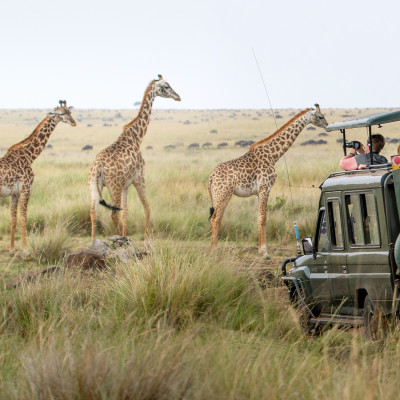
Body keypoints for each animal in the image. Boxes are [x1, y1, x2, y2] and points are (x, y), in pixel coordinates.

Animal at [0, 100, 76, 250]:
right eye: (60, 114)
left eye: (70, 112)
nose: (73, 122)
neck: (29, 155)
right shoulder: (26, 188)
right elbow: (24, 218)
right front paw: (25, 248)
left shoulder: (14, 193)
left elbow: (13, 219)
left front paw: (12, 249)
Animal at [89, 76, 181, 244]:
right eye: (166, 86)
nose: (178, 97)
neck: (136, 137)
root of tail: (99, 166)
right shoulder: (140, 177)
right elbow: (147, 208)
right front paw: (146, 240)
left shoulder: (126, 185)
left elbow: (126, 213)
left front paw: (126, 237)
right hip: (114, 186)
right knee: (113, 213)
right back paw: (116, 239)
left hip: (93, 185)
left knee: (93, 211)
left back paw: (94, 242)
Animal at [209, 104, 328, 258]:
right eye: (320, 116)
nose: (327, 125)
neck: (273, 155)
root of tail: (211, 177)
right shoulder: (265, 187)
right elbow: (263, 218)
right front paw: (264, 252)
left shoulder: (259, 191)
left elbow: (259, 217)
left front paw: (261, 250)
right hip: (224, 193)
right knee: (216, 218)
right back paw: (214, 250)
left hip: (217, 195)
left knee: (214, 217)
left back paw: (212, 248)